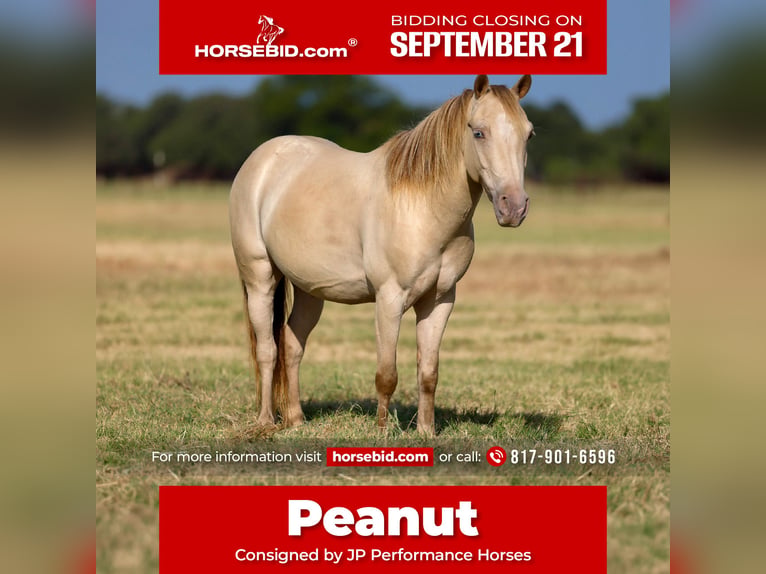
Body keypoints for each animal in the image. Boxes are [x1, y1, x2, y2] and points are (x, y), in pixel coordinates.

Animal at [229, 74, 534, 434]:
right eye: (478, 132)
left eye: (529, 133)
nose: (513, 207)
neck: (422, 207)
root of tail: (261, 159)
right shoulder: (390, 299)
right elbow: (387, 374)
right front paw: (382, 431)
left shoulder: (439, 300)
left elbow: (428, 373)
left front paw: (426, 431)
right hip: (260, 277)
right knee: (267, 350)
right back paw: (265, 421)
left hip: (309, 288)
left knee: (291, 344)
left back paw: (296, 419)